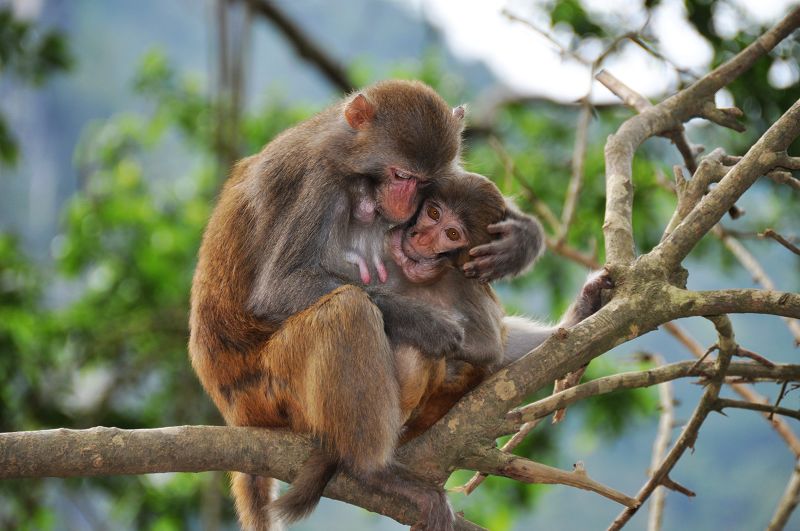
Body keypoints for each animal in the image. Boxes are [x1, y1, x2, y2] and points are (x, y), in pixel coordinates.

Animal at [188, 80, 540, 531]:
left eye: (425, 182)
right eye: (401, 175)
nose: (406, 209)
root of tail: (236, 414)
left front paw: (522, 238)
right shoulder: (319, 182)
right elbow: (278, 289)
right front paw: (429, 325)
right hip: (272, 393)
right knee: (348, 310)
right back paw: (373, 471)